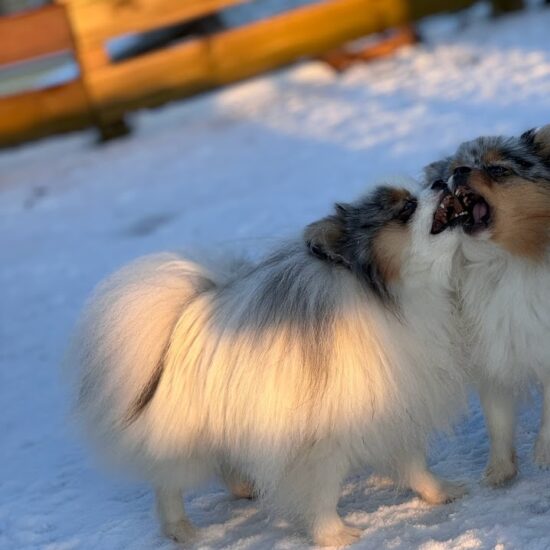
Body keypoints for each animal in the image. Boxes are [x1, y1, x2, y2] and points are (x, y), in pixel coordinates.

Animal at [66, 184, 470, 548]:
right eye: (406, 208)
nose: (440, 181)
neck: (391, 299)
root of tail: (182, 317)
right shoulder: (319, 442)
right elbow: (321, 494)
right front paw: (333, 536)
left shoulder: (397, 409)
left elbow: (415, 464)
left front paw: (439, 492)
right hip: (187, 440)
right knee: (168, 484)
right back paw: (180, 528)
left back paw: (245, 487)